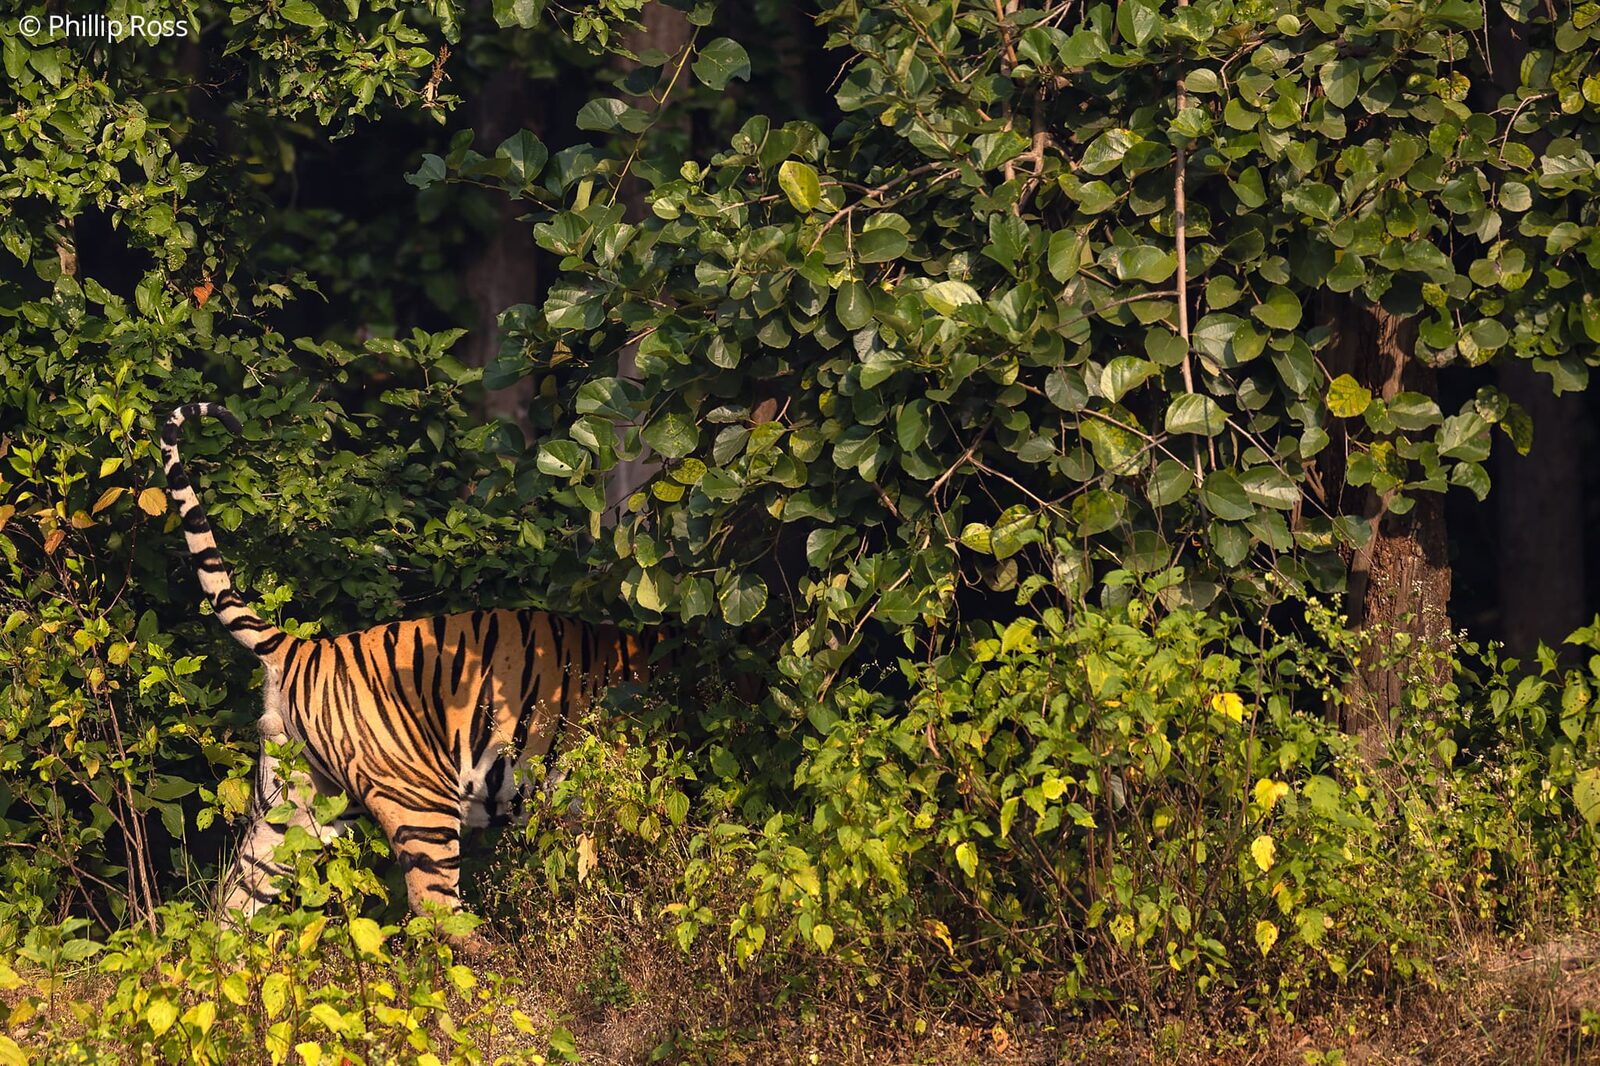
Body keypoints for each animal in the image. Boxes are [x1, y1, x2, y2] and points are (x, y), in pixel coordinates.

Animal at [160, 402, 664, 954]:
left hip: (292, 807)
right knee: (435, 907)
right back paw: (496, 966)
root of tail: (303, 647)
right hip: (422, 801)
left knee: (232, 903)